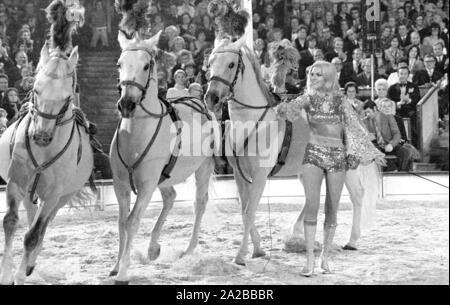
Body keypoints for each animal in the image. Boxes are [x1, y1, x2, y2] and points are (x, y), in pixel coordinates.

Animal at [107, 30, 216, 282]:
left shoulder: (146, 186)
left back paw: (189, 249)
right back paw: (153, 248)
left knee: (199, 203)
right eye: (119, 64)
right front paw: (116, 265)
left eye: (146, 65)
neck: (137, 133)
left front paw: (123, 272)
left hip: (203, 168)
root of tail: (200, 104)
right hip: (163, 178)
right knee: (170, 198)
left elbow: (132, 222)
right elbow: (121, 222)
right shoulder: (120, 184)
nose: (126, 104)